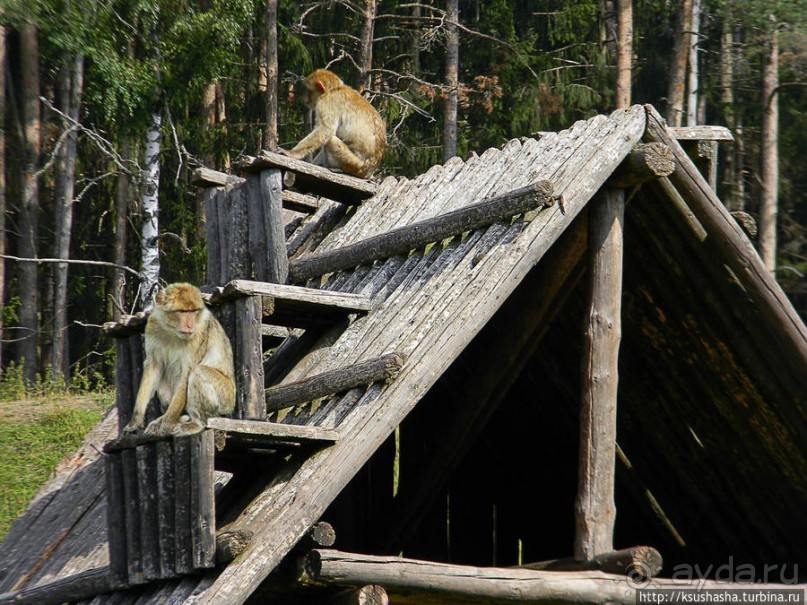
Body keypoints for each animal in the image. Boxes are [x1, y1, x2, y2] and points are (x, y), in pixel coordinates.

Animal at [123, 280, 235, 436]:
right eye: (182, 312)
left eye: (193, 311)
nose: (190, 325)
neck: (172, 331)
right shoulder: (152, 325)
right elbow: (154, 366)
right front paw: (135, 421)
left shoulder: (199, 333)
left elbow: (186, 374)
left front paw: (167, 423)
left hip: (225, 398)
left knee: (198, 372)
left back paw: (196, 423)